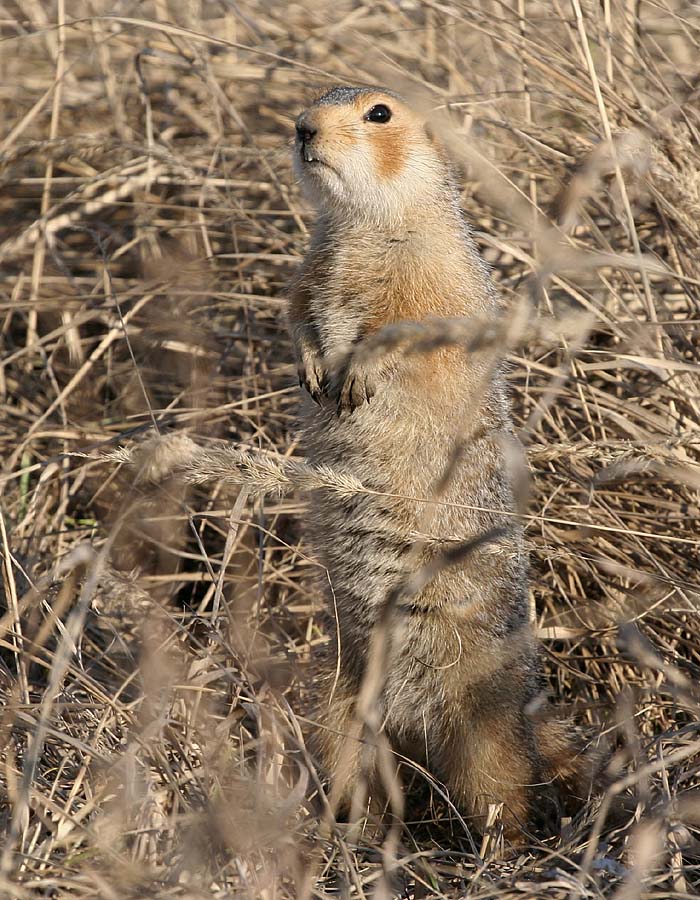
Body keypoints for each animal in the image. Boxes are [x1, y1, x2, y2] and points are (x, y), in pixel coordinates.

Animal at [284, 84, 584, 836]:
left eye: (379, 113)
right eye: (314, 101)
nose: (300, 127)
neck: (364, 222)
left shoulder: (430, 274)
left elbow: (405, 323)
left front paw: (357, 371)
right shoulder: (310, 267)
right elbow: (297, 309)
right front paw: (311, 365)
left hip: (484, 732)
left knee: (506, 794)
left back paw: (501, 849)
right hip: (337, 706)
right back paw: (348, 830)